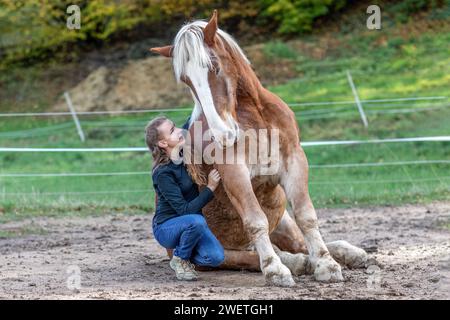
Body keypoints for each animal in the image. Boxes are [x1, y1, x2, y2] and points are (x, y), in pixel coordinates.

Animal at [151, 10, 370, 286]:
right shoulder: (235, 174)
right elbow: (255, 221)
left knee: (297, 244)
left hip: (284, 223)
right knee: (253, 256)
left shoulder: (294, 160)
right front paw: (276, 270)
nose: (222, 134)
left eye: (214, 66)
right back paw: (293, 263)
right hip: (218, 253)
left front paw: (327, 265)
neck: (254, 117)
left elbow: (306, 215)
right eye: (186, 80)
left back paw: (348, 253)